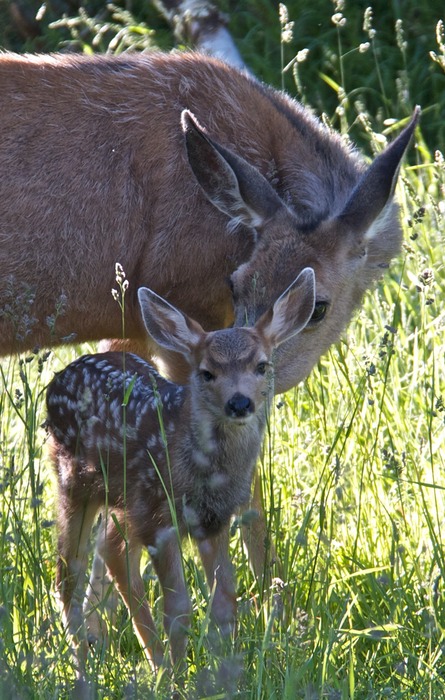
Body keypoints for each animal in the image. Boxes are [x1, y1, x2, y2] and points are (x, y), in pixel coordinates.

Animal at [0, 52, 416, 580]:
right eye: (236, 284)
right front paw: (269, 590)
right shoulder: (181, 305)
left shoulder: (132, 320)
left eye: (318, 307)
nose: (260, 343)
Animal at [45, 266, 316, 668]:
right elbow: (178, 610)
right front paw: (178, 675)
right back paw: (88, 660)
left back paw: (146, 656)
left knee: (111, 551)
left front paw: (223, 670)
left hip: (127, 502)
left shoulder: (212, 520)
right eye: (206, 373)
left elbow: (224, 603)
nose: (240, 403)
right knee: (69, 572)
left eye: (261, 366)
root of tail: (60, 377)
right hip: (76, 484)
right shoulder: (160, 518)